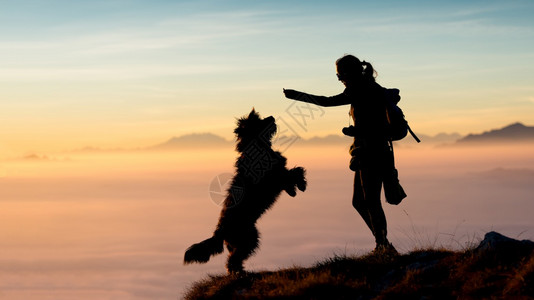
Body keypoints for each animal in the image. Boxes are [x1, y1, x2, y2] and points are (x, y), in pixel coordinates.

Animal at [185, 109, 308, 274]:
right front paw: (301, 184)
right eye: (258, 121)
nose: (272, 117)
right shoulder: (275, 177)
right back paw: (241, 273)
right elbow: (295, 172)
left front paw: (293, 190)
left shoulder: (279, 175)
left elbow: (291, 174)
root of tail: (219, 232)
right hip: (249, 238)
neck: (256, 147)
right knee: (233, 260)